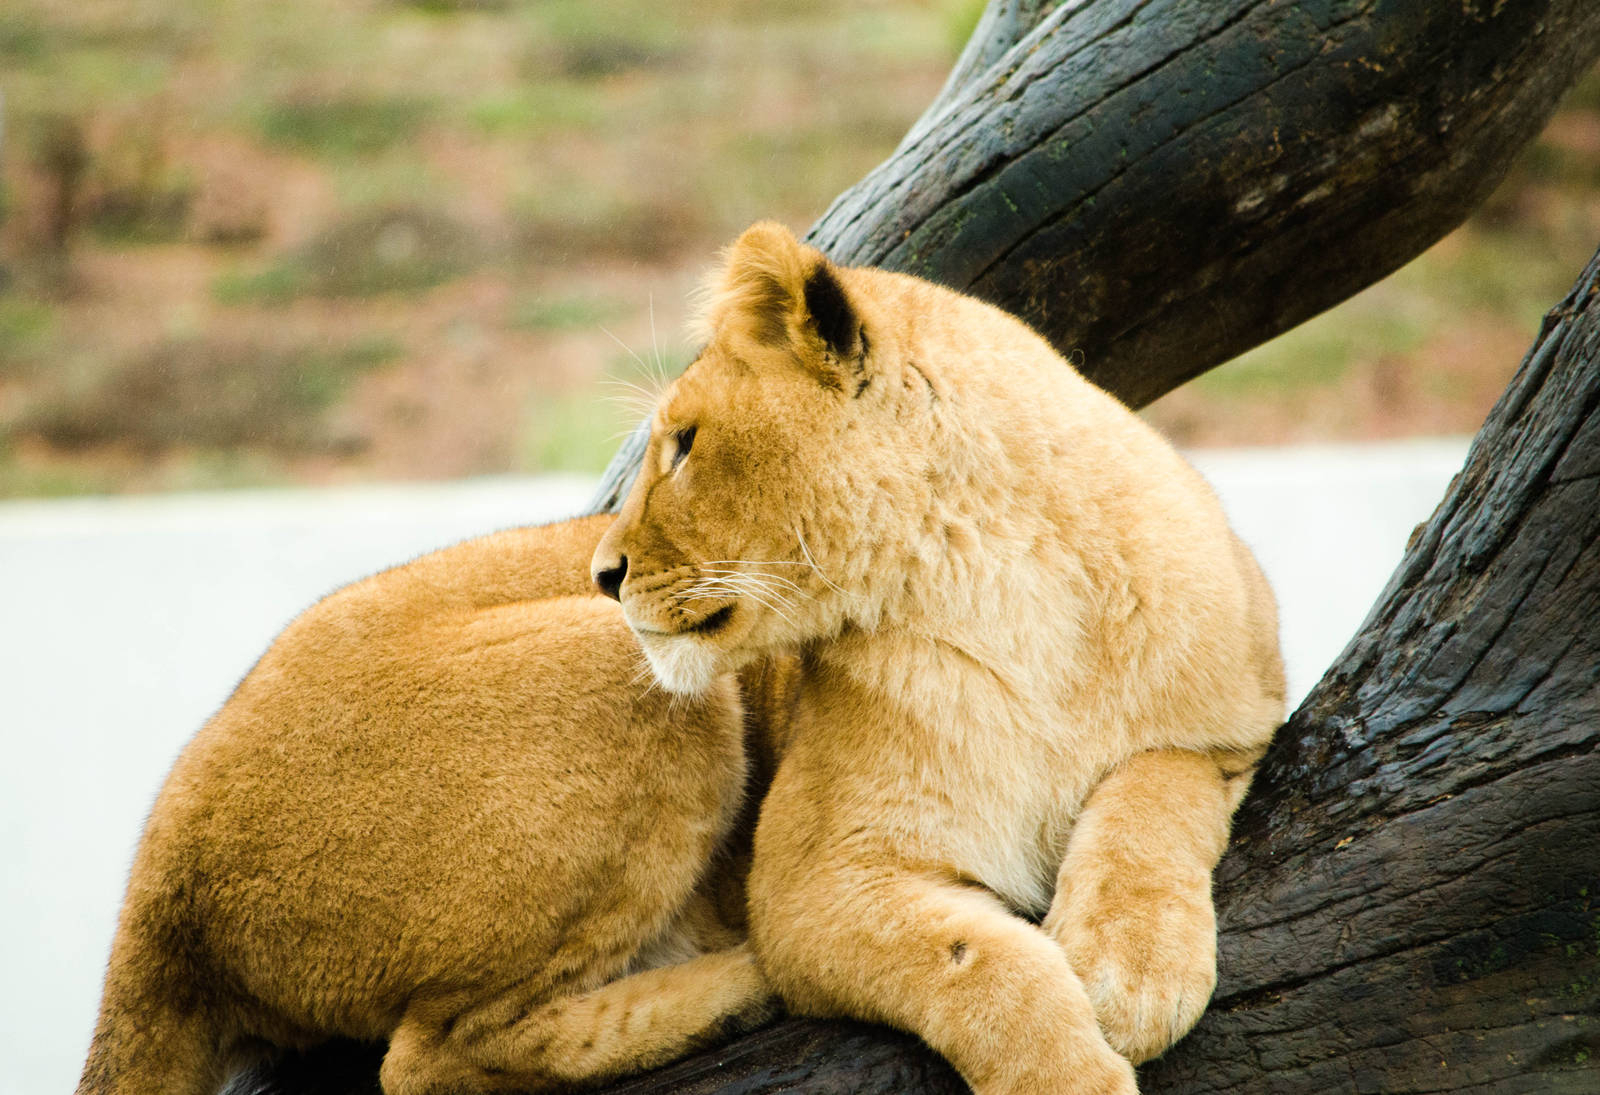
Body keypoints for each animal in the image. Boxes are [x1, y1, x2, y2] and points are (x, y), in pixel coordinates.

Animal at [591, 222, 1287, 1094]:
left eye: (684, 445)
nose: (602, 574)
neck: (993, 577)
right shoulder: (809, 885)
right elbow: (979, 965)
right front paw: (1066, 1075)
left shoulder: (1236, 720)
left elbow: (1152, 793)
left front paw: (1129, 968)